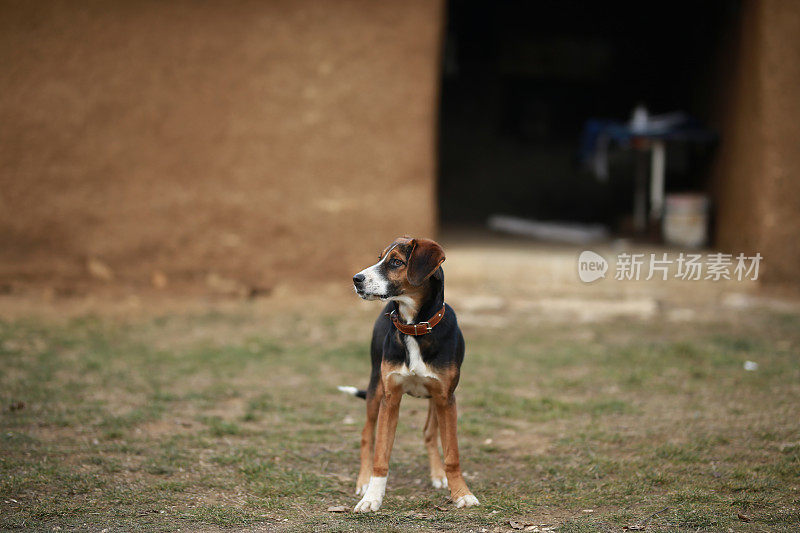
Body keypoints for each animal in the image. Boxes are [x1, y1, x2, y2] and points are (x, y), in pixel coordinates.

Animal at [340, 236, 482, 512]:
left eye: (396, 262)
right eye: (379, 258)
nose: (356, 278)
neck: (415, 327)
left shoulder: (446, 398)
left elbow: (451, 454)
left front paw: (461, 493)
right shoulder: (390, 398)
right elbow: (380, 455)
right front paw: (372, 497)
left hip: (436, 400)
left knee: (429, 433)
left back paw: (438, 476)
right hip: (375, 388)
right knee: (366, 436)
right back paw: (362, 482)